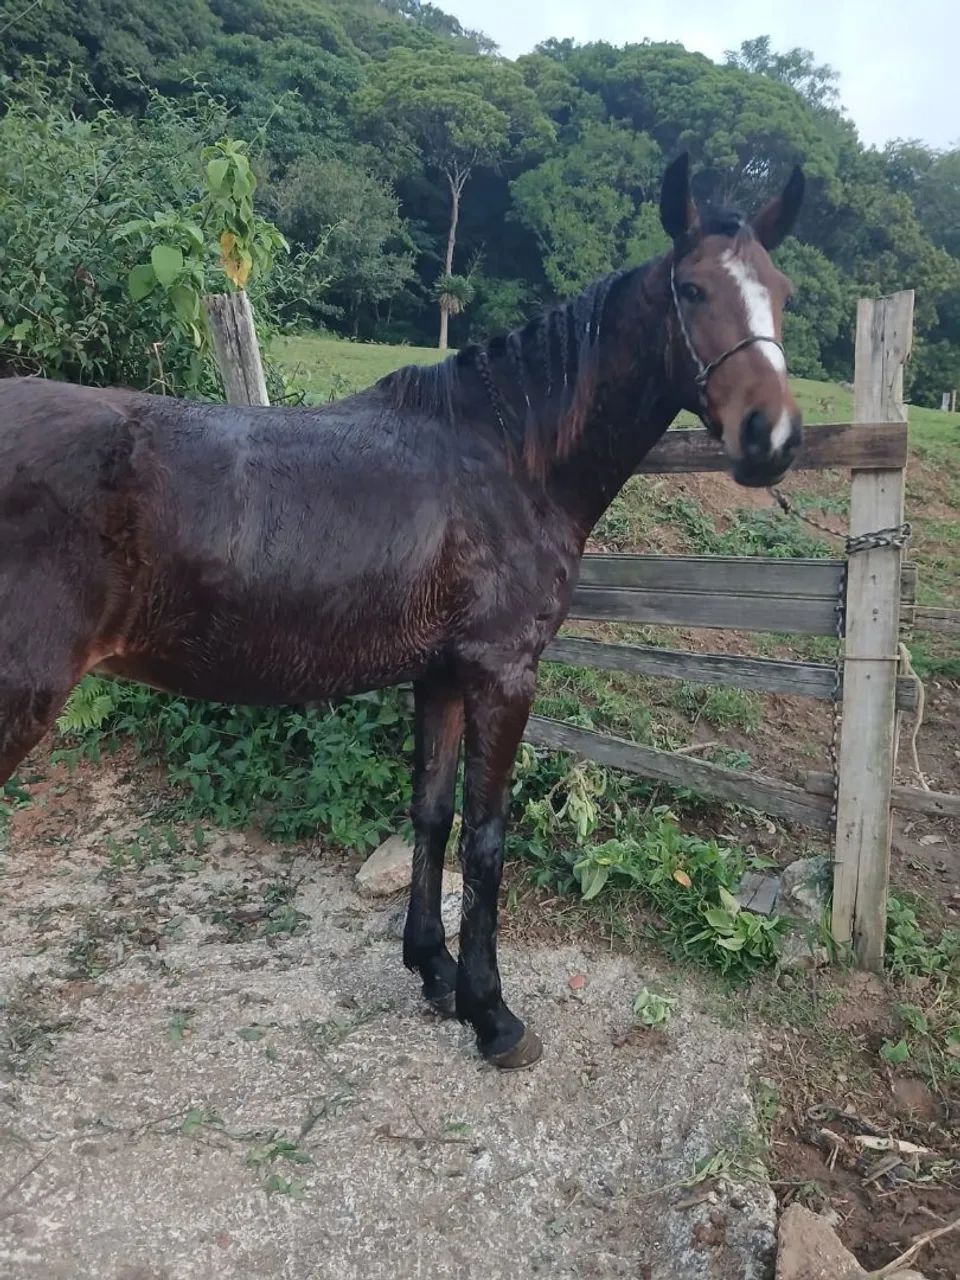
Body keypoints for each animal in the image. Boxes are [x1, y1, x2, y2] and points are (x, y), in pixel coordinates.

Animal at [0, 154, 804, 1069]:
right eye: (694, 289)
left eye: (782, 292)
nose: (771, 438)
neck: (506, 455)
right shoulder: (502, 674)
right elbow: (486, 838)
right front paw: (493, 1013)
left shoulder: (441, 674)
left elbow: (431, 810)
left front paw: (434, 970)